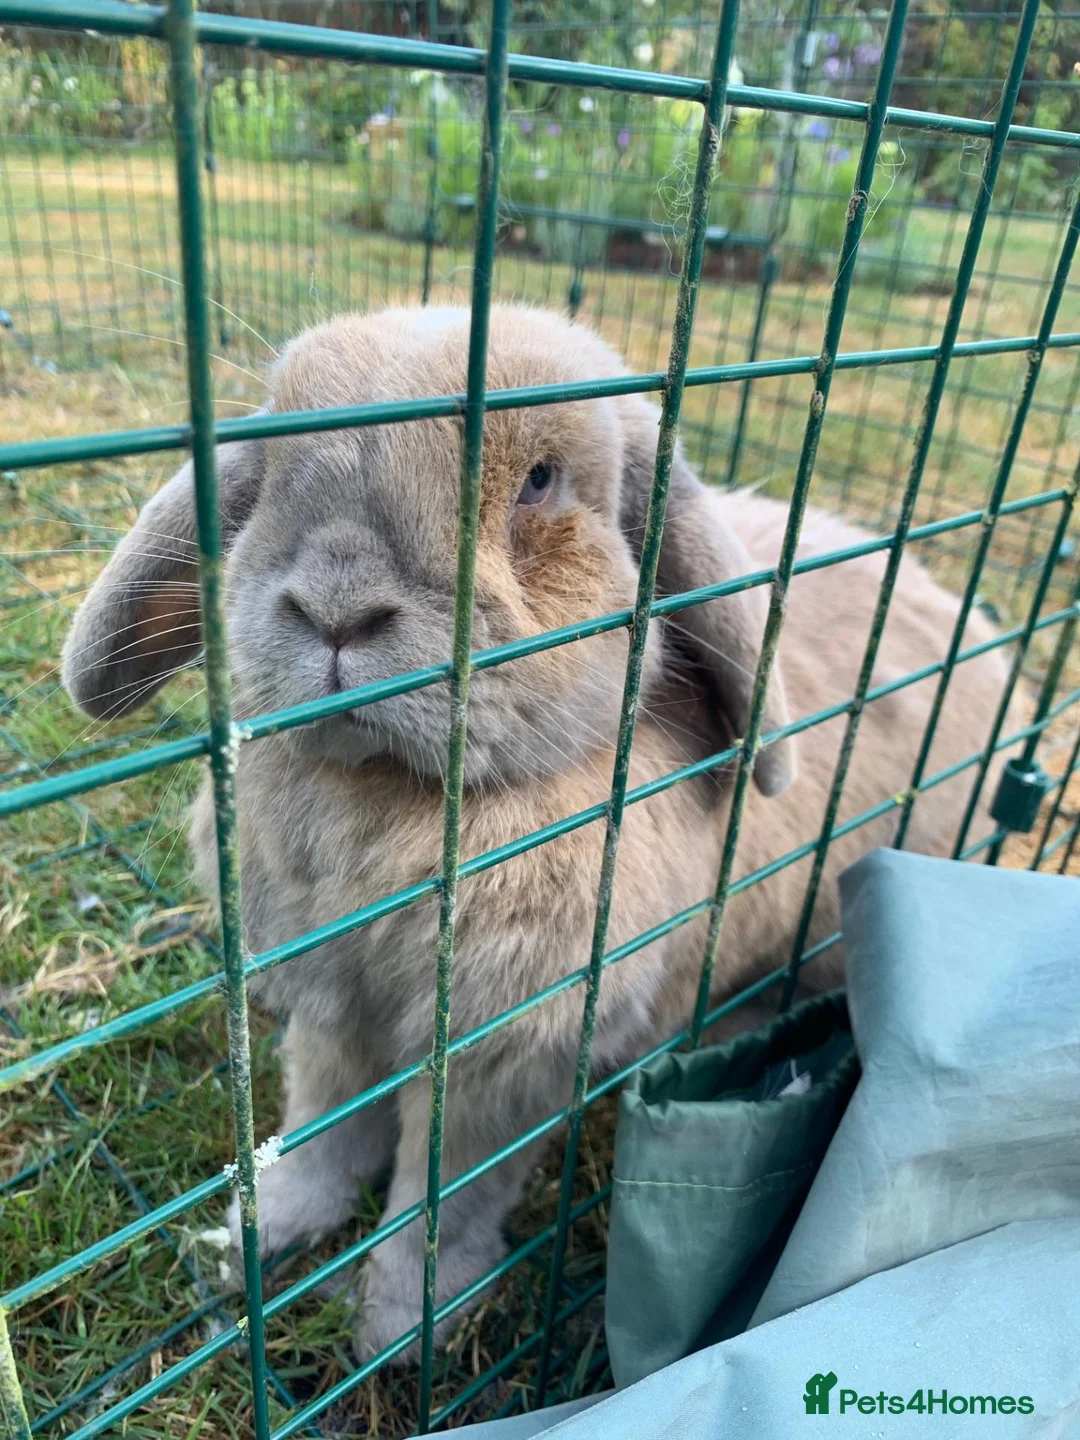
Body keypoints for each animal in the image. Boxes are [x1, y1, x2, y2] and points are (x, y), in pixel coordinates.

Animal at [62, 304, 1010, 1360]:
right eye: (270, 473)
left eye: (540, 481)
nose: (335, 610)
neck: (402, 801)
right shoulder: (336, 1017)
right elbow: (323, 1129)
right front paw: (253, 1243)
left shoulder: (504, 1063)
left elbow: (450, 1193)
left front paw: (403, 1325)